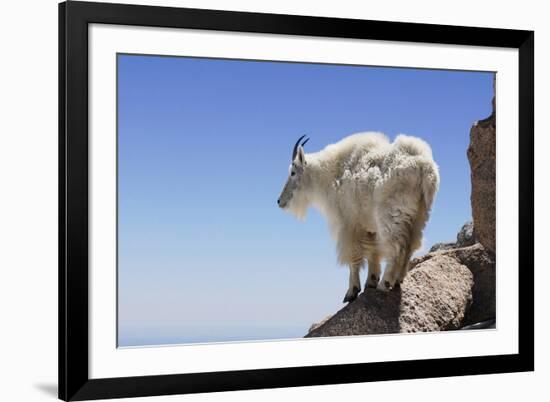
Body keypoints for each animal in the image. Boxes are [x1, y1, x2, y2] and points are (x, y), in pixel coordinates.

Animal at [278, 133, 442, 304]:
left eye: (293, 172)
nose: (279, 201)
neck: (331, 174)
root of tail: (425, 168)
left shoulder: (349, 224)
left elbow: (354, 256)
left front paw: (352, 291)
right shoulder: (369, 226)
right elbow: (373, 252)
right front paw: (370, 281)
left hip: (391, 215)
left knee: (397, 248)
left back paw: (385, 283)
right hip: (419, 217)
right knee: (410, 246)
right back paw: (398, 280)